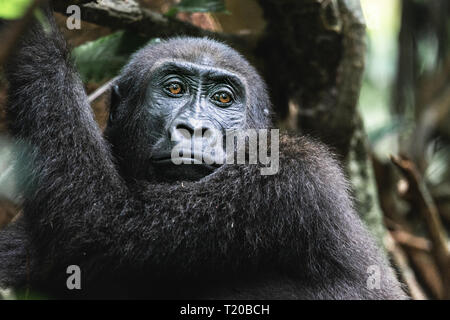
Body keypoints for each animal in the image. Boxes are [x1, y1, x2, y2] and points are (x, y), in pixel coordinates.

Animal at [0, 5, 408, 300]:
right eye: (174, 89)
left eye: (223, 98)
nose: (194, 127)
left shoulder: (289, 174)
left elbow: (94, 226)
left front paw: (30, 26)